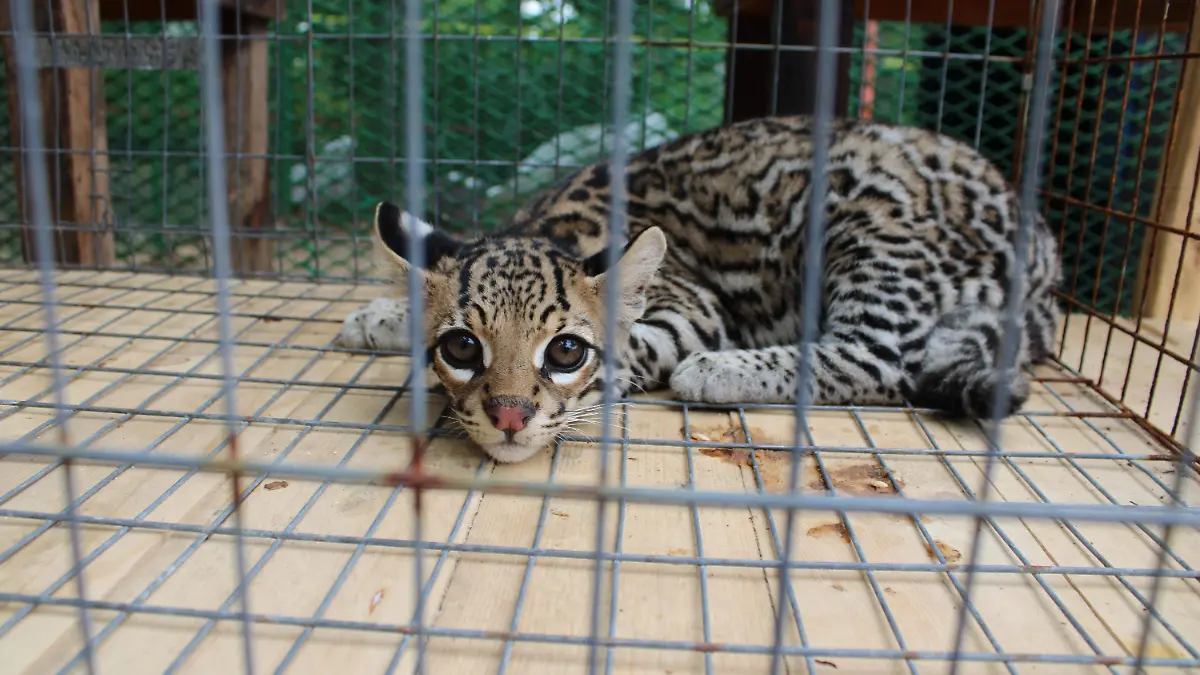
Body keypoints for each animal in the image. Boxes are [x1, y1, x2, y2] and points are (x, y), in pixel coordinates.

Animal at [336, 117, 1060, 461]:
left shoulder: (694, 304)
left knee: (881, 360)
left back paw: (721, 370)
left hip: (873, 225)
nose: (509, 416)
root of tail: (1044, 246)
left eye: (566, 352)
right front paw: (385, 313)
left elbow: (632, 345)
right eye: (462, 346)